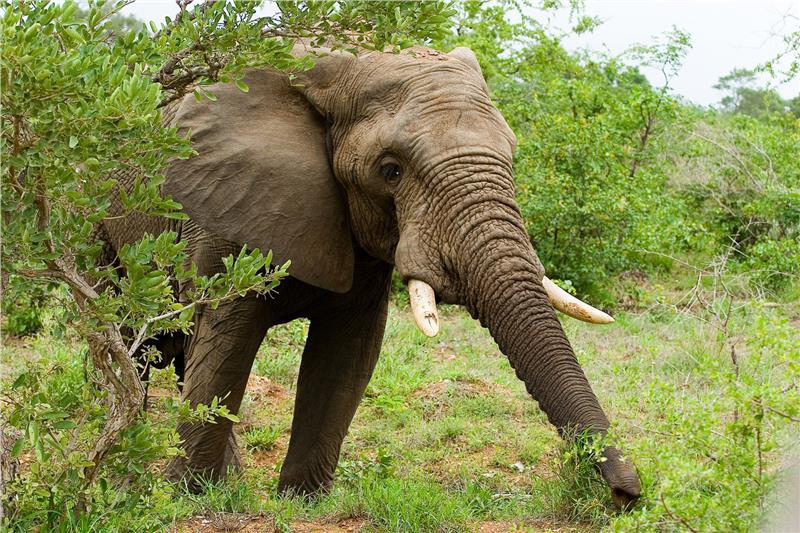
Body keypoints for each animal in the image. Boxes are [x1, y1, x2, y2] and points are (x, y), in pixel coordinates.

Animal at [100, 44, 642, 507]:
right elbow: (226, 346)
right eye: (390, 170)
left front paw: (303, 501)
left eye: (511, 157)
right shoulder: (229, 209)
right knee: (127, 338)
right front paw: (190, 497)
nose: (626, 493)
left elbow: (346, 353)